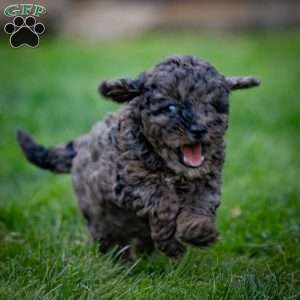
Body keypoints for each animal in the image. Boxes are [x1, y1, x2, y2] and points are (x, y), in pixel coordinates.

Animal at [17, 55, 260, 258]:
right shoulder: (130, 181)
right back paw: (120, 259)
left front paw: (198, 230)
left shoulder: (207, 179)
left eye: (212, 105)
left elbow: (199, 203)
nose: (200, 129)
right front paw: (171, 243)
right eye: (171, 107)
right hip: (100, 214)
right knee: (110, 235)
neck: (171, 166)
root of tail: (81, 143)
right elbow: (163, 202)